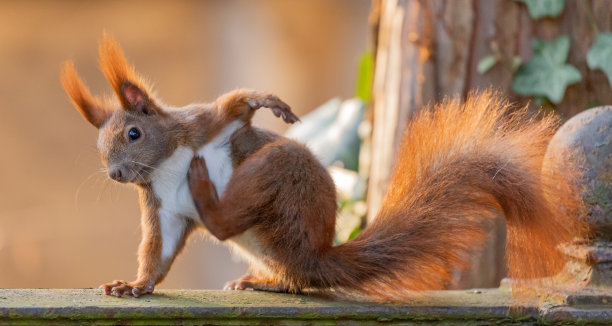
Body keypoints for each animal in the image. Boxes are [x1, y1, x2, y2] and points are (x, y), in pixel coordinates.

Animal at [61, 35, 584, 300]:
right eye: (99, 149)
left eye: (134, 134)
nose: (116, 175)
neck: (169, 163)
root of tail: (317, 254)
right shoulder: (164, 208)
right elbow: (158, 252)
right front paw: (134, 285)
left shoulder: (204, 123)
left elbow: (236, 105)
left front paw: (270, 103)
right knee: (283, 270)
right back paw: (260, 279)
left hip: (280, 172)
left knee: (235, 221)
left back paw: (208, 190)